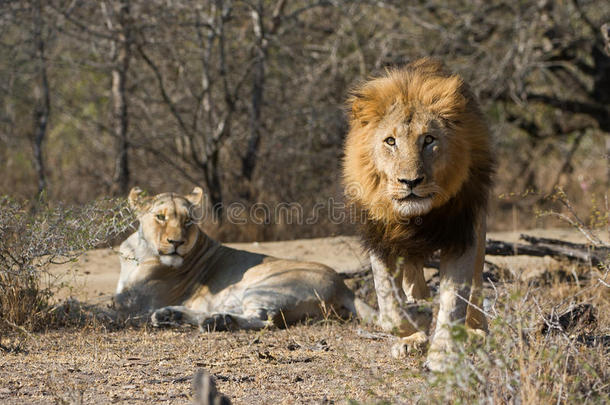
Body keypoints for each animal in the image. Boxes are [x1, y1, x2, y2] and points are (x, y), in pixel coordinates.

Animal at [111, 186, 372, 328]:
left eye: (188, 221)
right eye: (161, 217)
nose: (176, 243)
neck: (140, 251)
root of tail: (342, 285)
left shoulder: (133, 304)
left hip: (265, 288)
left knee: (266, 319)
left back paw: (217, 322)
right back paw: (173, 315)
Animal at [342, 57, 494, 370]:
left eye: (429, 139)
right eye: (390, 141)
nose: (410, 181)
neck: (415, 217)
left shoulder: (462, 234)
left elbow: (453, 301)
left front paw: (443, 355)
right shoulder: (380, 236)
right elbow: (388, 303)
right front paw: (417, 322)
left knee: (476, 286)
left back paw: (476, 331)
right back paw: (413, 332)